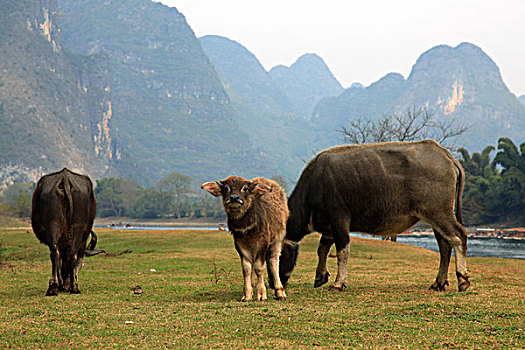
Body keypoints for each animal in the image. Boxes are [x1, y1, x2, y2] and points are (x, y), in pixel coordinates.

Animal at [31, 167, 99, 296]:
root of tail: (65, 178)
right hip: (75, 227)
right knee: (70, 254)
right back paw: (71, 287)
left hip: (54, 225)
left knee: (56, 253)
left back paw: (56, 287)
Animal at [280, 139, 468, 292]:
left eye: (278, 254)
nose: (278, 281)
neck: (315, 184)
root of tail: (445, 155)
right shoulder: (329, 228)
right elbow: (322, 249)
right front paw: (320, 276)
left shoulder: (339, 220)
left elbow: (342, 251)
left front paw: (338, 283)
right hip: (434, 217)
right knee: (445, 244)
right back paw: (438, 283)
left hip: (438, 212)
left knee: (458, 236)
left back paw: (463, 279)